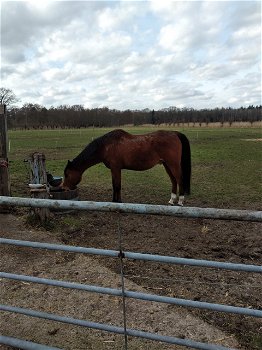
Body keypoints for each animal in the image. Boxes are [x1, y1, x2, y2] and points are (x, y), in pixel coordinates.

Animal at [62, 129, 191, 205]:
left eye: (67, 174)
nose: (64, 188)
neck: (106, 146)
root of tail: (175, 133)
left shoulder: (116, 168)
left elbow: (117, 185)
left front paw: (118, 201)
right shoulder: (114, 170)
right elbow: (114, 185)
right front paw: (114, 200)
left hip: (173, 164)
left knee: (180, 180)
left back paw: (180, 201)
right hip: (166, 165)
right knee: (174, 181)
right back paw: (171, 200)